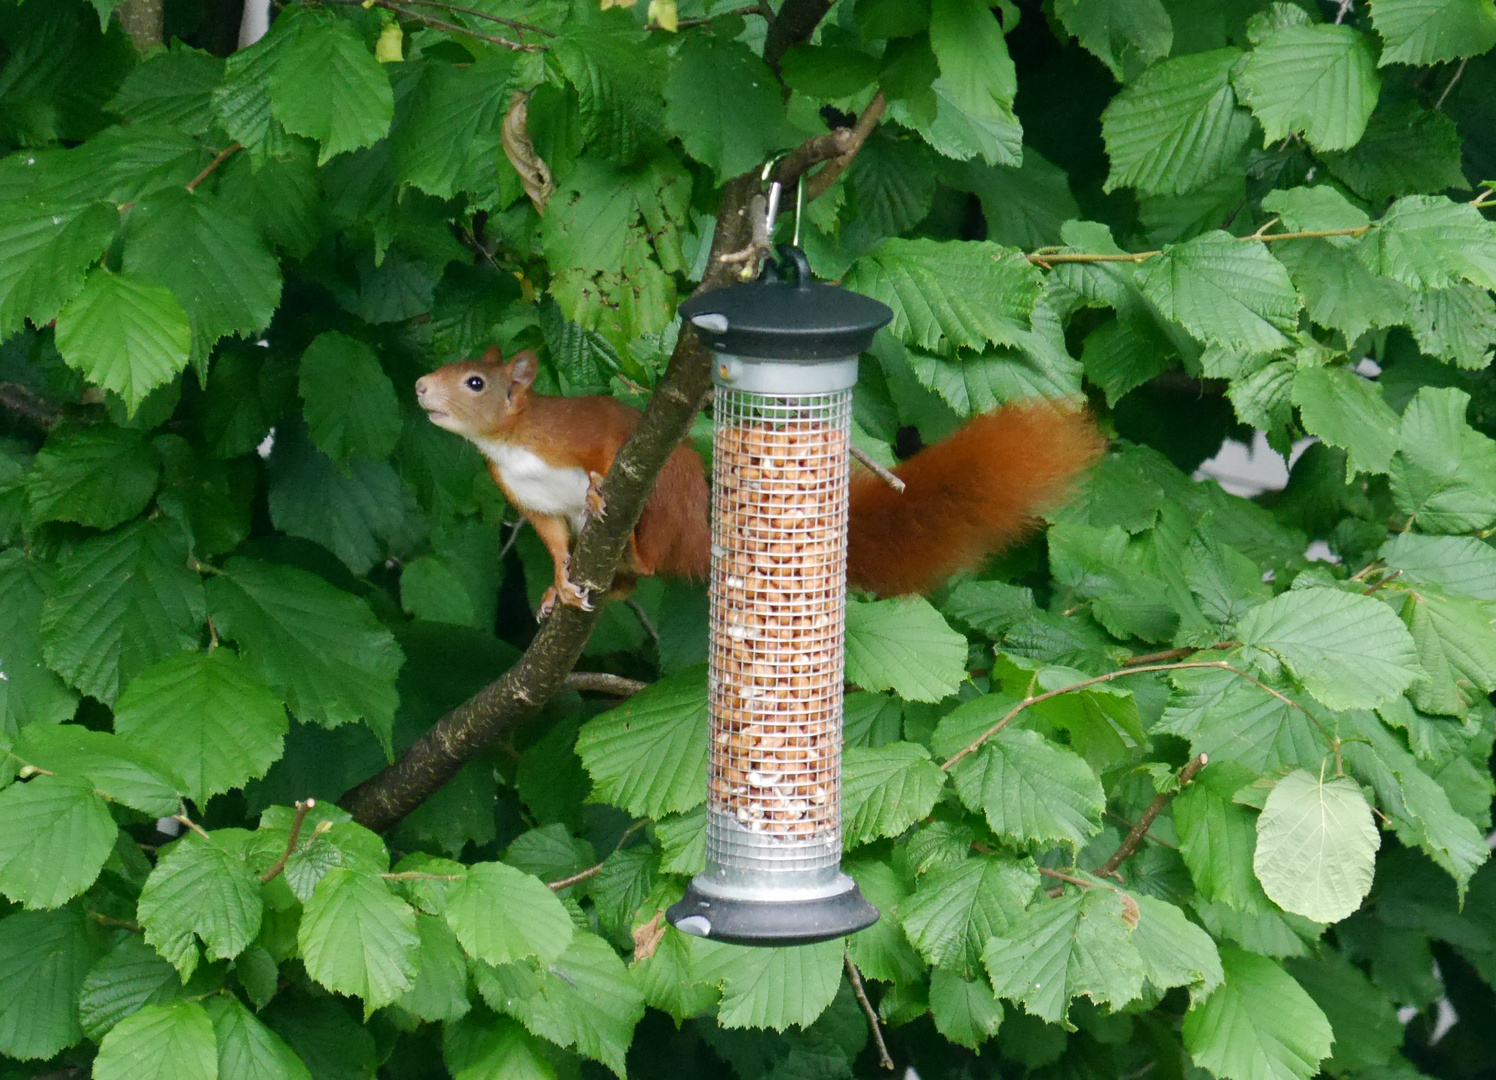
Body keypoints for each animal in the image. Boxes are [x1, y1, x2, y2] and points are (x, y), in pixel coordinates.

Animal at [415, 345, 1107, 613]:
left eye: (475, 382)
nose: (421, 386)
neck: (511, 445)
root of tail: (698, 538)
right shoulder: (527, 498)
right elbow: (556, 541)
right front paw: (559, 583)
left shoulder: (580, 431)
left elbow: (608, 451)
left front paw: (595, 486)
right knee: (636, 583)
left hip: (666, 498)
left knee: (650, 555)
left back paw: (632, 544)